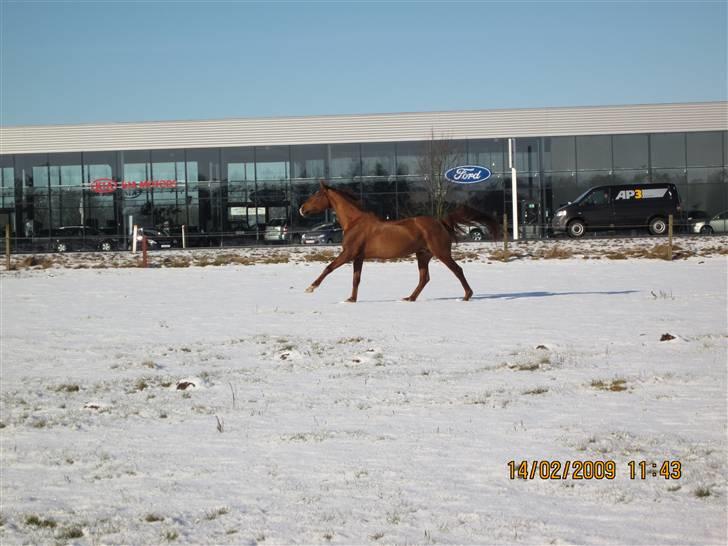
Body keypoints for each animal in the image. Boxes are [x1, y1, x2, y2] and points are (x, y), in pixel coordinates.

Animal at [298, 182, 498, 302]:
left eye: (316, 195)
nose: (301, 209)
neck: (354, 222)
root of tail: (441, 222)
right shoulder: (358, 257)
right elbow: (356, 279)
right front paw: (351, 299)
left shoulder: (348, 254)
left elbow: (328, 268)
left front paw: (310, 288)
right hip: (423, 255)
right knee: (424, 278)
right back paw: (410, 298)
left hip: (441, 253)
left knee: (457, 270)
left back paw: (467, 296)